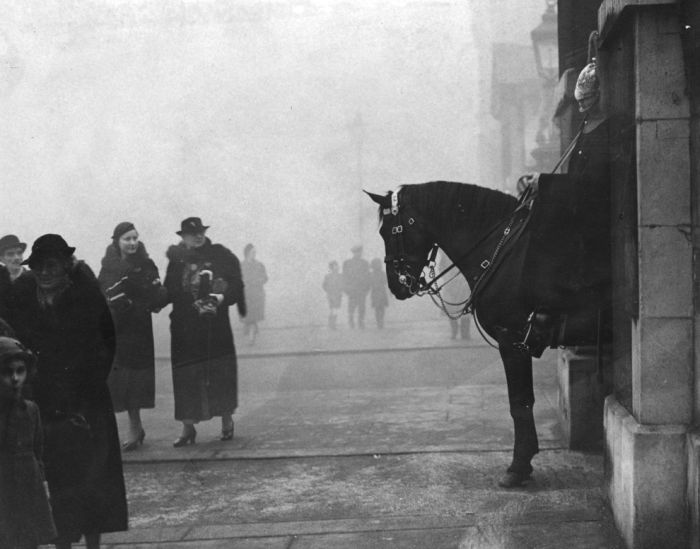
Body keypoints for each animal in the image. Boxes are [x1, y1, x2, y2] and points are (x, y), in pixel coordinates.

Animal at [370, 179, 608, 484]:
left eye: (389, 230)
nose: (395, 285)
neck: (502, 252)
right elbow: (523, 401)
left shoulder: (512, 341)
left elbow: (520, 402)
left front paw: (519, 466)